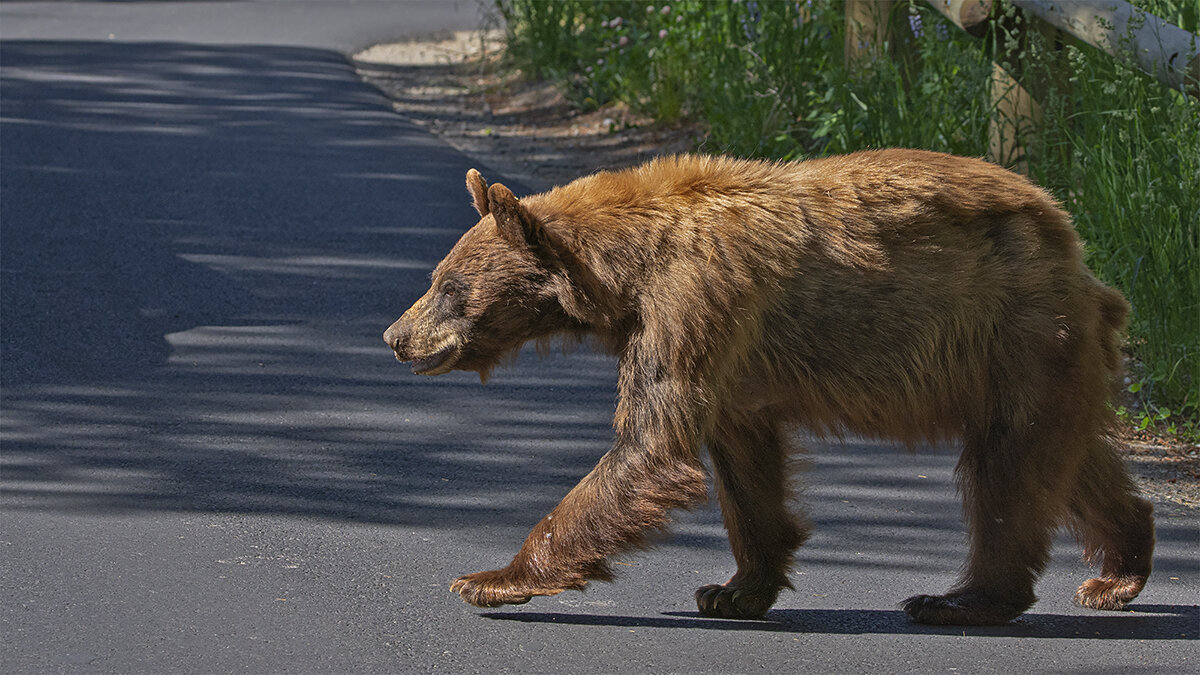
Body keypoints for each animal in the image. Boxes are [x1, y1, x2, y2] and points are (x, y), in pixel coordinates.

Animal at [381, 149, 1152, 624]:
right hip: (1034, 357)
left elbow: (651, 444)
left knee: (1005, 470)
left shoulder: (694, 300)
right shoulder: (727, 357)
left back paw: (958, 598)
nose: (396, 335)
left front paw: (491, 577)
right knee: (1067, 460)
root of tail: (1074, 249)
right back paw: (1118, 571)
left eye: (448, 288)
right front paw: (733, 588)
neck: (621, 272)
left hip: (1014, 332)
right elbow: (743, 463)